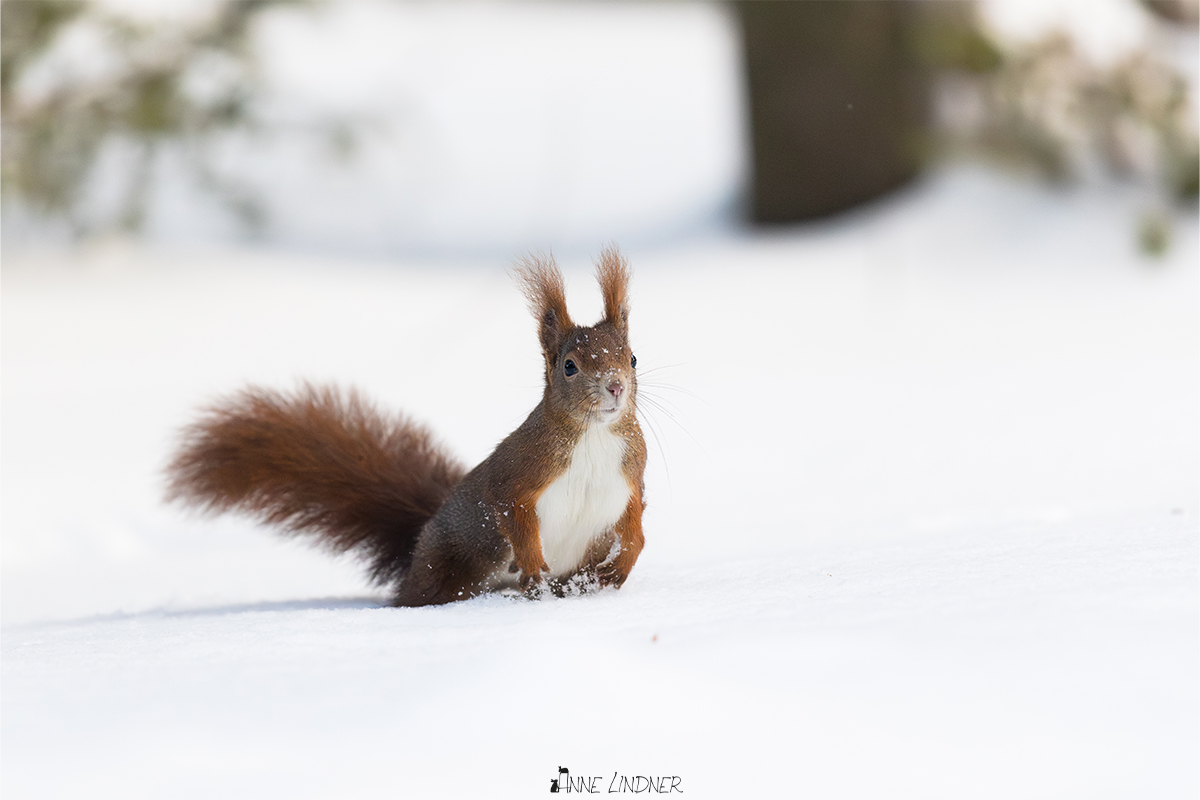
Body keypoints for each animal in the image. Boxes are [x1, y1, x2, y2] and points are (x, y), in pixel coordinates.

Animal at [166, 248, 646, 607]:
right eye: (570, 366)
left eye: (633, 357)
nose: (616, 386)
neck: (595, 435)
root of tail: (420, 541)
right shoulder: (521, 469)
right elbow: (509, 504)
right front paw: (530, 561)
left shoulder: (632, 473)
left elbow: (635, 522)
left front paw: (623, 564)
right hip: (447, 565)